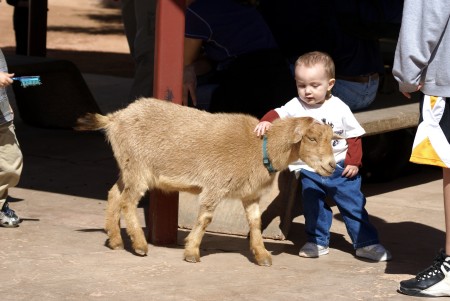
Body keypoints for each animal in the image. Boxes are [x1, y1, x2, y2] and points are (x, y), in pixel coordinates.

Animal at [75, 96, 336, 264]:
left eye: (331, 138)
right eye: (311, 138)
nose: (332, 166)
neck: (260, 147)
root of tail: (115, 119)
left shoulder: (250, 194)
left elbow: (255, 222)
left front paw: (262, 255)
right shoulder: (215, 184)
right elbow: (206, 218)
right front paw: (191, 252)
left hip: (128, 167)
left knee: (114, 194)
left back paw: (115, 240)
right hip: (138, 167)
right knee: (128, 202)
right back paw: (139, 245)